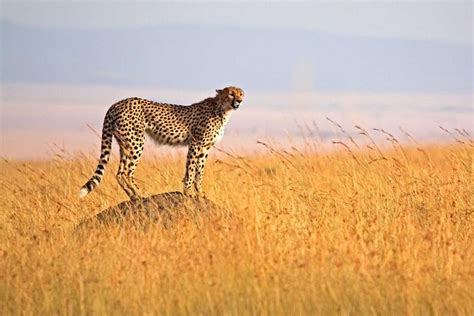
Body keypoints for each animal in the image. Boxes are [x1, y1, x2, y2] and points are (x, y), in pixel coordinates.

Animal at [79, 86, 244, 200]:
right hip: (136, 142)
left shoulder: (205, 148)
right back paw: (141, 193)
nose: (240, 101)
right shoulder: (196, 144)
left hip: (125, 143)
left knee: (120, 173)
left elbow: (199, 172)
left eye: (241, 93)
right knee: (128, 171)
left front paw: (200, 192)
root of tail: (117, 103)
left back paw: (132, 196)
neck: (222, 109)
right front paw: (188, 191)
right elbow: (191, 170)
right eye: (231, 93)